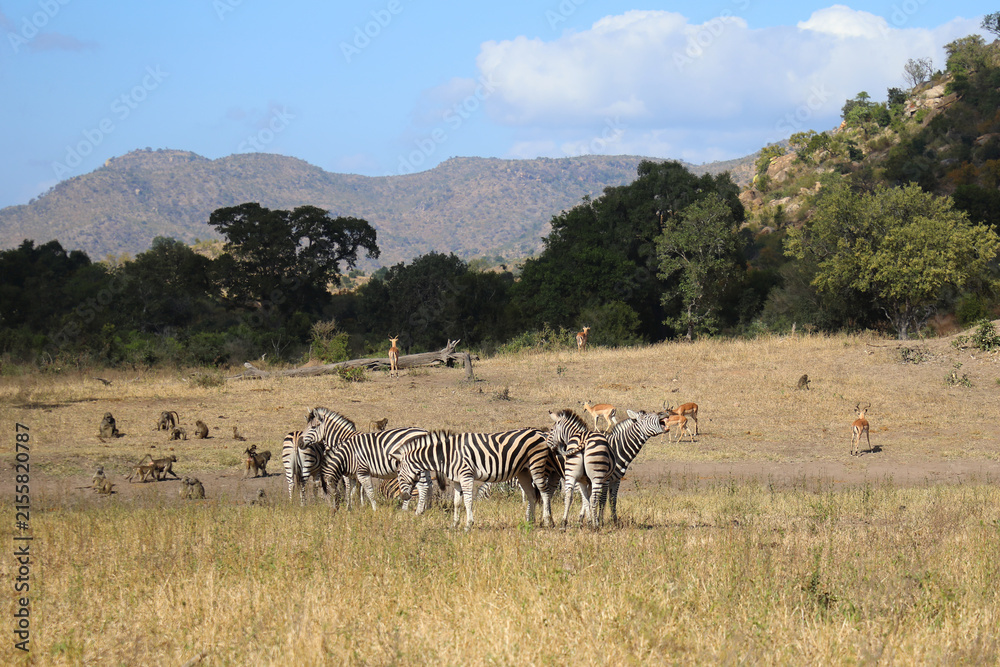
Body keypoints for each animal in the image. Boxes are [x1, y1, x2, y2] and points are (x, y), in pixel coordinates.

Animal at [395, 428, 557, 530]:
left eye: (397, 472)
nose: (404, 496)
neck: (447, 455)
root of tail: (540, 432)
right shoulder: (456, 480)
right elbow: (456, 503)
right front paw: (454, 525)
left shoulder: (466, 475)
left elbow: (468, 501)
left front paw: (468, 524)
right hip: (523, 471)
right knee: (531, 495)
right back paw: (530, 522)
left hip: (536, 465)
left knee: (544, 492)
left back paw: (547, 520)